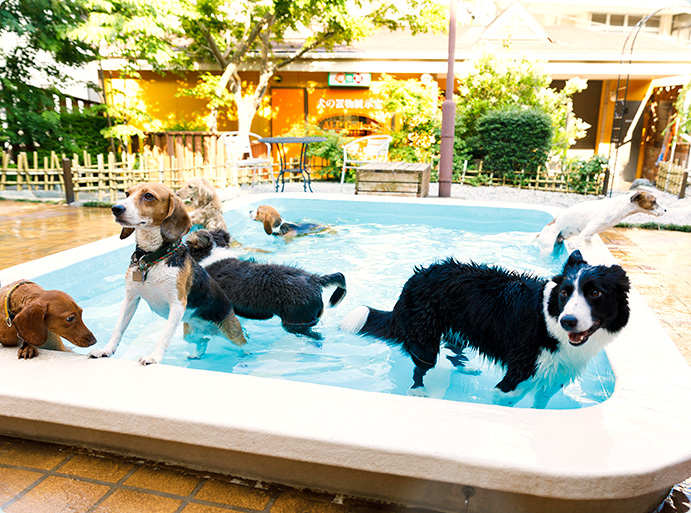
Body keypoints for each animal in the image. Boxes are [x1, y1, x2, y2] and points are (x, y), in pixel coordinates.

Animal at [88, 182, 246, 362]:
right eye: (127, 193)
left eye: (148, 196)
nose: (116, 208)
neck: (150, 260)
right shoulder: (130, 299)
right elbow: (118, 329)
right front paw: (106, 350)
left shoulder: (177, 304)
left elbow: (164, 336)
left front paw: (154, 358)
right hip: (190, 334)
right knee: (202, 341)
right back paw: (196, 354)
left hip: (233, 335)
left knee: (243, 345)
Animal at [338, 250, 628, 406]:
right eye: (565, 293)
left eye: (595, 293)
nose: (568, 321)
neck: (550, 324)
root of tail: (415, 277)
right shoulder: (517, 374)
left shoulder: (554, 377)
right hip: (425, 338)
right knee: (421, 366)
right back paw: (417, 390)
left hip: (457, 329)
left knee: (454, 348)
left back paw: (466, 368)